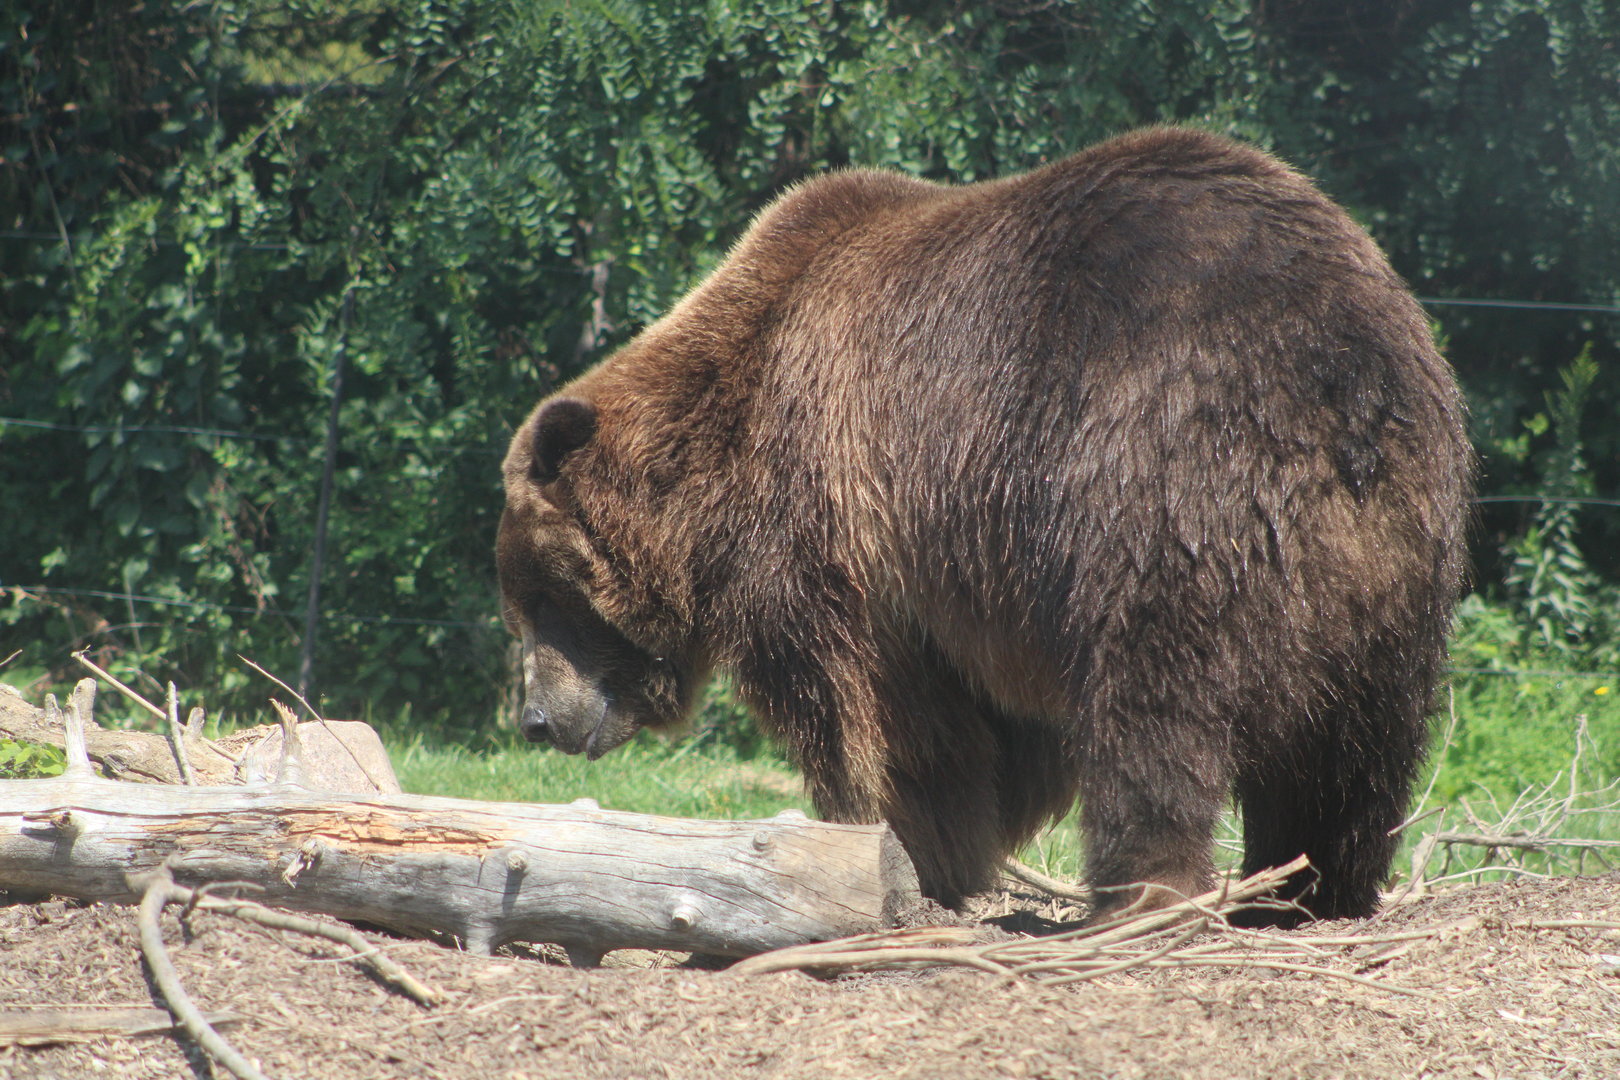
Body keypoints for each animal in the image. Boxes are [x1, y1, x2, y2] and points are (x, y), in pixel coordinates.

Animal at [496, 126, 1472, 923]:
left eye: (542, 601)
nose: (536, 720)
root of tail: (1337, 372)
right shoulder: (962, 563)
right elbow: (996, 730)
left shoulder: (834, 519)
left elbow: (880, 722)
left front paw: (895, 854)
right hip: (1395, 548)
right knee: (1360, 741)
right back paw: (1311, 889)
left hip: (1154, 480)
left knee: (1152, 712)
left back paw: (1142, 894)